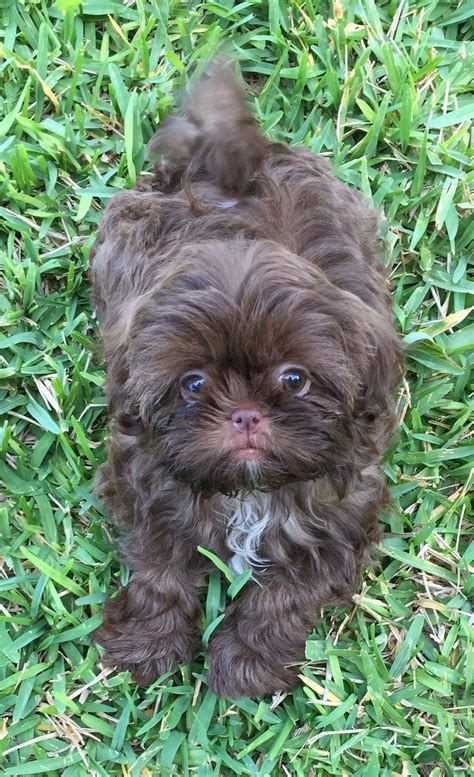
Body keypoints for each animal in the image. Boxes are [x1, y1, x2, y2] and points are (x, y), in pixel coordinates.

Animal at [90, 63, 402, 700]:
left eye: (294, 378)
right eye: (191, 384)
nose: (245, 414)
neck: (248, 491)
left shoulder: (341, 513)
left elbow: (287, 593)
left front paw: (248, 661)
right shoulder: (148, 488)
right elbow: (158, 570)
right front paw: (146, 642)